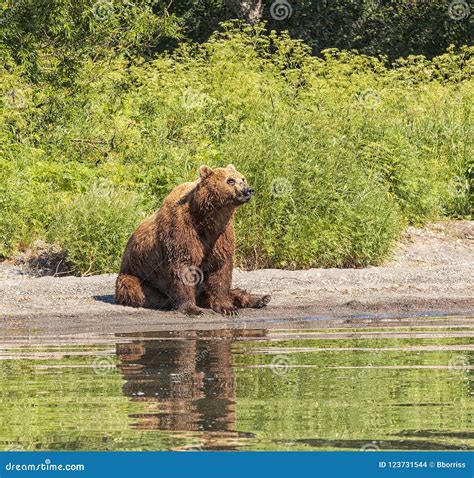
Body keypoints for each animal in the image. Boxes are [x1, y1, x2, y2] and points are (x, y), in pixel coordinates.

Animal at [114, 165, 270, 318]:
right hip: (137, 275)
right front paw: (192, 309)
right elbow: (184, 266)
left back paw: (261, 298)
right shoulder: (181, 230)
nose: (248, 190)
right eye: (230, 180)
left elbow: (221, 269)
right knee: (133, 288)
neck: (208, 219)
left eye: (243, 178)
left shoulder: (222, 236)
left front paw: (228, 307)